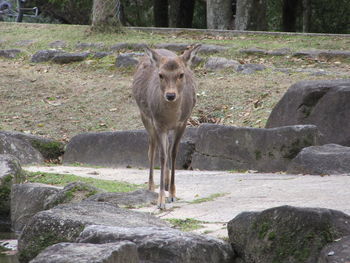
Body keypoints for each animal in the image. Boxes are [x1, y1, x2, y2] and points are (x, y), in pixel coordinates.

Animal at [132, 44, 202, 210]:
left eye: (181, 74)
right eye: (161, 75)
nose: (170, 95)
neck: (171, 116)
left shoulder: (183, 122)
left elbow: (173, 153)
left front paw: (172, 194)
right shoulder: (158, 123)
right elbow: (162, 156)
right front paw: (161, 201)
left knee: (167, 147)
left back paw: (165, 183)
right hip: (145, 117)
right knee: (152, 149)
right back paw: (151, 186)